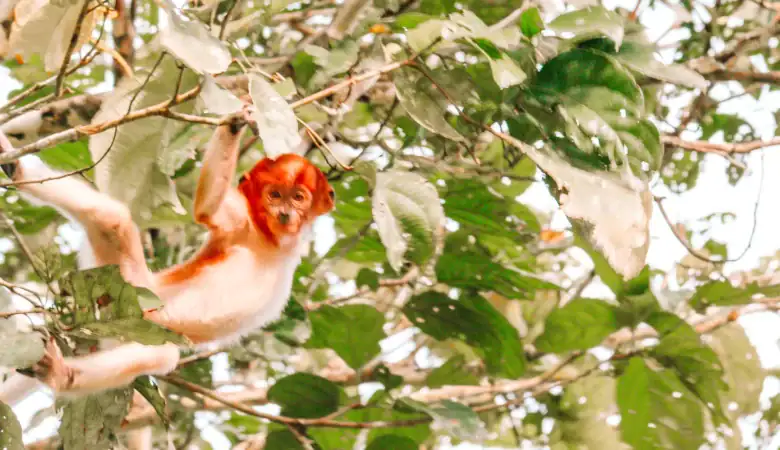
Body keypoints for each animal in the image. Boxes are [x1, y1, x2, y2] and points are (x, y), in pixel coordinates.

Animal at [0, 104, 335, 397]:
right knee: (112, 218)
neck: (273, 241)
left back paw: (61, 374)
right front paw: (235, 123)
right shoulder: (241, 220)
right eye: (274, 195)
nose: (285, 213)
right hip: (130, 287)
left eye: (298, 197)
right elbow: (205, 210)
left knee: (158, 353)